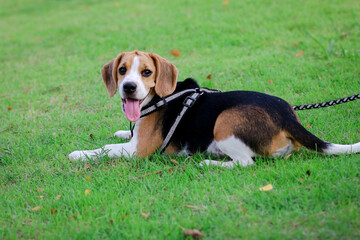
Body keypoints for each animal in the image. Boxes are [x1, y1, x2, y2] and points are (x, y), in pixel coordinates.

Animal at [69, 50, 358, 167]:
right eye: (122, 70)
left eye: (147, 72)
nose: (129, 87)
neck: (159, 98)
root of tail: (288, 116)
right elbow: (121, 136)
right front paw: (120, 132)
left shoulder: (138, 151)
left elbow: (107, 149)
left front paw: (79, 154)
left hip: (224, 121)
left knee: (246, 163)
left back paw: (209, 162)